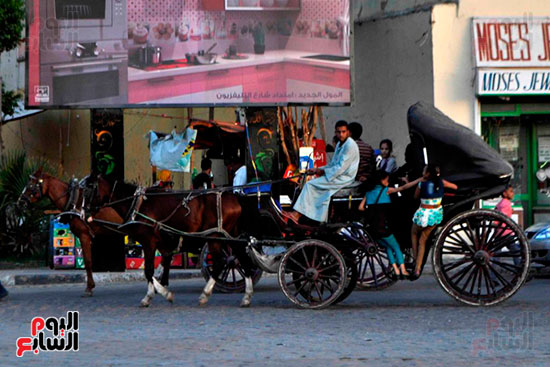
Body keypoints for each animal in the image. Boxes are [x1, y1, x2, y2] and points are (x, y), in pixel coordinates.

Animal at [95, 178, 258, 308]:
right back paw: (247, 296)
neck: (139, 204)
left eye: (90, 186)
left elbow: (149, 271)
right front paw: (161, 289)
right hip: (231, 236)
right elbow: (161, 267)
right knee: (242, 259)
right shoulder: (164, 244)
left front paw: (152, 295)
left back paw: (205, 294)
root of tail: (235, 198)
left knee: (221, 262)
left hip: (215, 236)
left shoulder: (149, 241)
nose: (88, 213)